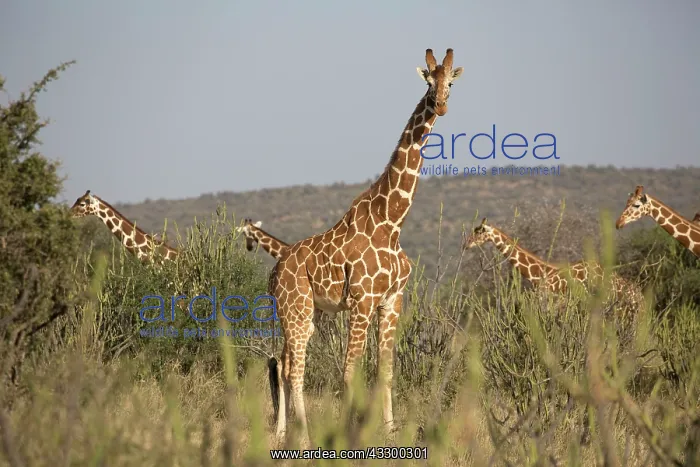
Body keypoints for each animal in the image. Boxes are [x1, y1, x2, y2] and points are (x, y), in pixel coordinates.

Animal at [268, 48, 463, 447]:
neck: (391, 222)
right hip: (297, 309)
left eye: (450, 84)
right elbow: (348, 371)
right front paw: (347, 434)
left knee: (284, 362)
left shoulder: (391, 299)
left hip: (305, 312)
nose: (440, 104)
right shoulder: (361, 300)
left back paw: (283, 434)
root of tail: (275, 270)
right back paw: (304, 438)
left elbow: (384, 371)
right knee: (295, 369)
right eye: (428, 82)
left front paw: (389, 431)